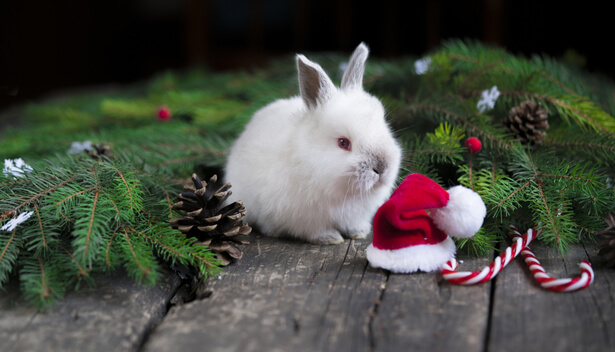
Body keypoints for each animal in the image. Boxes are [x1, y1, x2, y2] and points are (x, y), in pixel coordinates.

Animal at [224, 42, 402, 243]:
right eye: (343, 143)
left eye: (384, 127)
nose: (382, 167)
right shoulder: (306, 219)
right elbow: (316, 231)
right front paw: (331, 238)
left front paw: (359, 233)